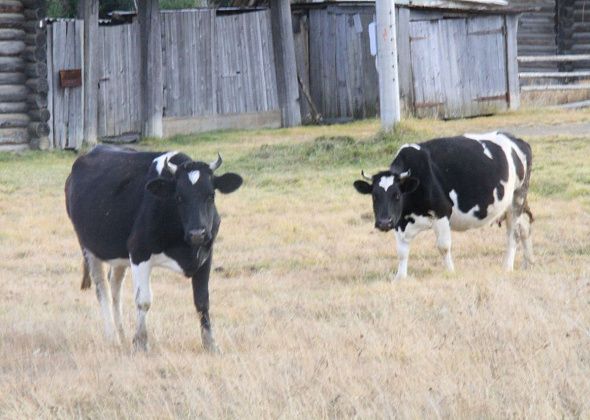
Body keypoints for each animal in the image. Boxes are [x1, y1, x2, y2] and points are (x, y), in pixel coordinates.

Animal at [67, 144, 245, 352]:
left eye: (211, 195)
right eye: (179, 196)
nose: (197, 233)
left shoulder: (206, 255)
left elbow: (202, 301)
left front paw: (211, 344)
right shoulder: (139, 252)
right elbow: (143, 300)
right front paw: (141, 342)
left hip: (118, 254)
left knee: (115, 287)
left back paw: (121, 335)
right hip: (88, 246)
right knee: (102, 289)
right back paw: (112, 337)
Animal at [356, 131, 536, 278]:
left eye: (397, 195)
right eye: (374, 196)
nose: (384, 222)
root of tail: (517, 140)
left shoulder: (441, 211)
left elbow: (443, 246)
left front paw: (450, 272)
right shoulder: (399, 221)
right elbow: (401, 251)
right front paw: (400, 277)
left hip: (517, 198)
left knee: (514, 234)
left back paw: (507, 267)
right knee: (525, 227)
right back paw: (528, 263)